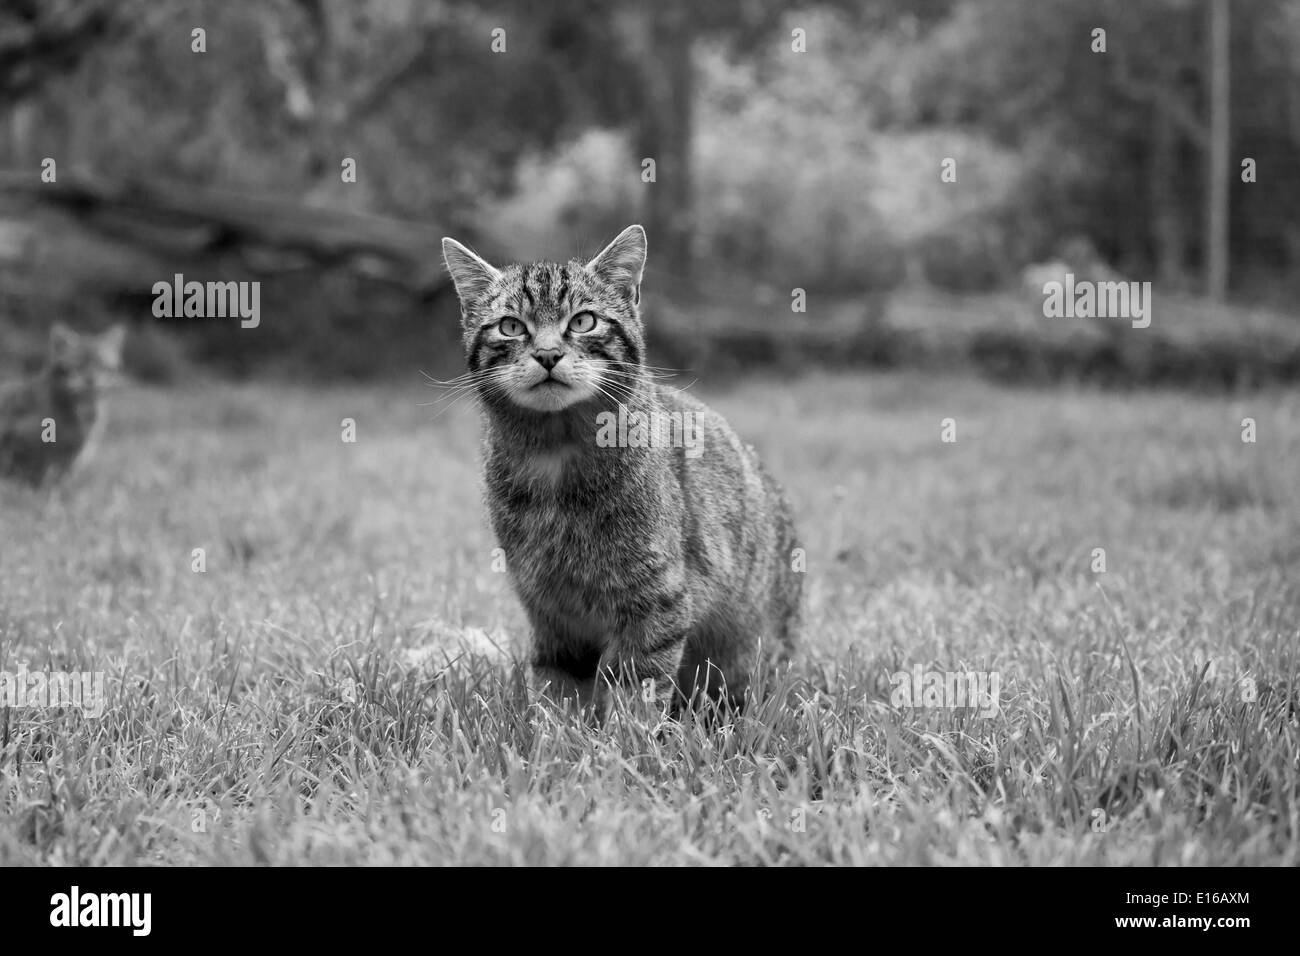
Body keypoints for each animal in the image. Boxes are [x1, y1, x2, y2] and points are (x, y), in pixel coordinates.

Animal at [441, 223, 795, 712]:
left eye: (583, 321)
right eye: (511, 326)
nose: (547, 354)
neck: (557, 453)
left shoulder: (656, 602)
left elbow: (635, 687)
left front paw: (625, 731)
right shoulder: (550, 610)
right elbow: (558, 684)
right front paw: (553, 729)